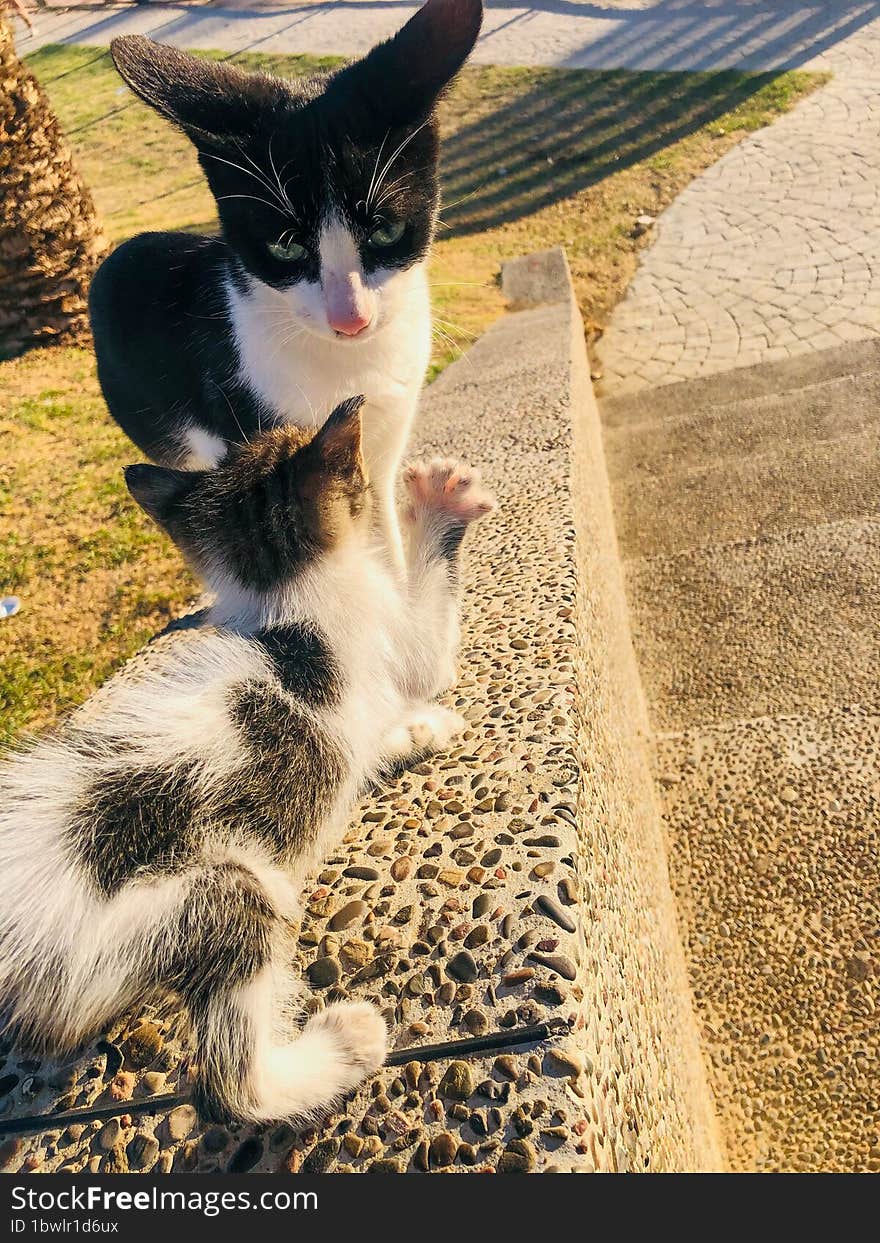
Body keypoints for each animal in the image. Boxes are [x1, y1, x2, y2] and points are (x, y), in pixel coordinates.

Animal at [0, 400, 494, 1128]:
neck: (283, 595)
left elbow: (377, 736)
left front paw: (415, 729)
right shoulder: (400, 646)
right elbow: (431, 646)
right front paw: (441, 500)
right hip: (221, 893)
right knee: (228, 1085)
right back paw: (343, 1045)